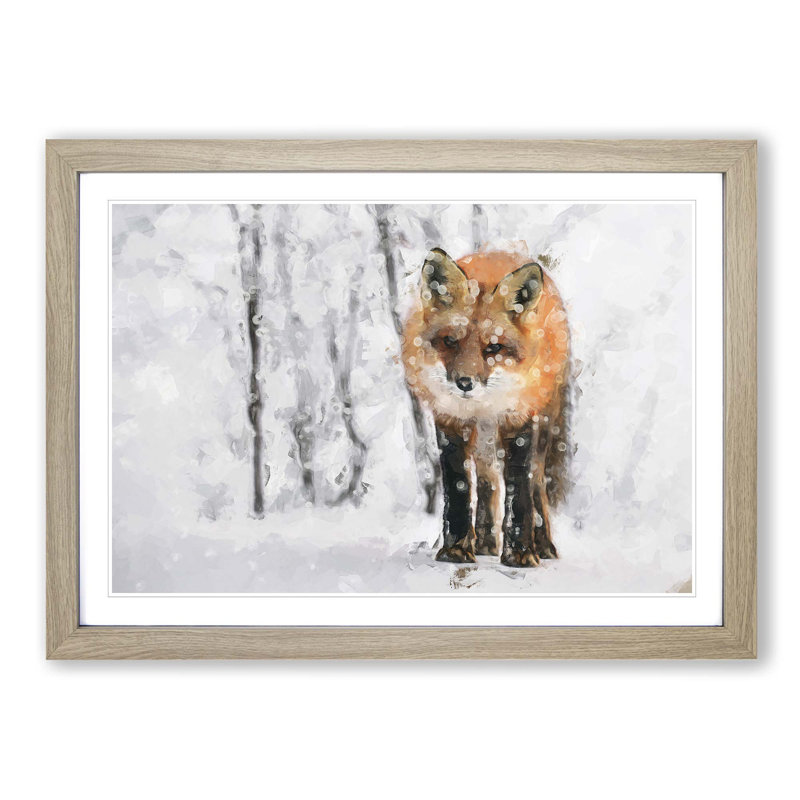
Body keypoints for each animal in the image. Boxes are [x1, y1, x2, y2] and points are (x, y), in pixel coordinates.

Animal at [402, 248, 572, 567]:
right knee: (486, 483)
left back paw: (543, 545)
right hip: (482, 445)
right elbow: (459, 489)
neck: (482, 408)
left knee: (537, 484)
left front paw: (520, 553)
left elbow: (518, 489)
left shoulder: (519, 419)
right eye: (450, 341)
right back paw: (484, 543)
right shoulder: (449, 422)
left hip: (543, 427)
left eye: (494, 347)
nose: (464, 383)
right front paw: (456, 549)